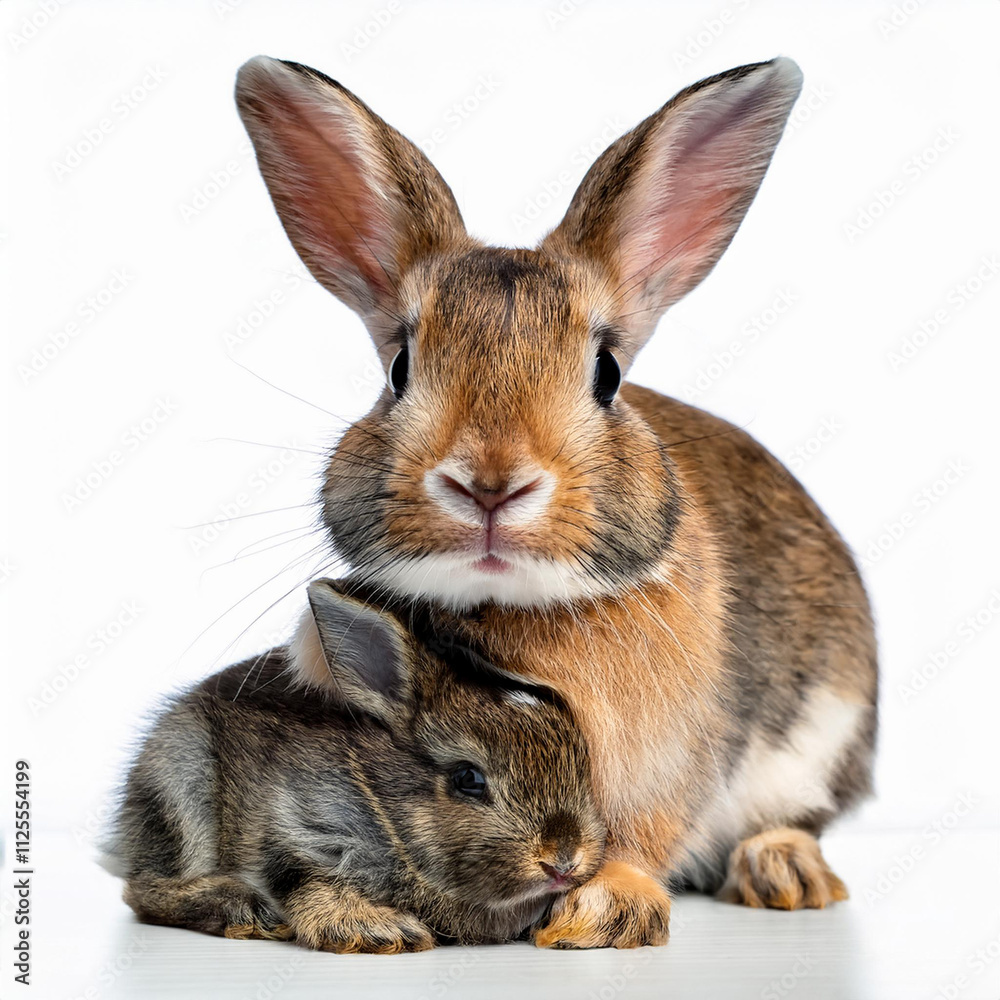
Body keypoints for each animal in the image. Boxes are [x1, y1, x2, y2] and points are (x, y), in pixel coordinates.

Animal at [109, 580, 605, 952]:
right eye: (468, 778)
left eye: (583, 763)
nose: (564, 859)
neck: (385, 808)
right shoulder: (291, 825)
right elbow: (307, 879)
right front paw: (382, 931)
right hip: (181, 787)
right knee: (143, 890)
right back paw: (245, 911)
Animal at [235, 56, 878, 949]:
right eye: (399, 369)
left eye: (605, 374)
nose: (490, 481)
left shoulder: (670, 765)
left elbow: (640, 836)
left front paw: (603, 915)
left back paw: (782, 873)